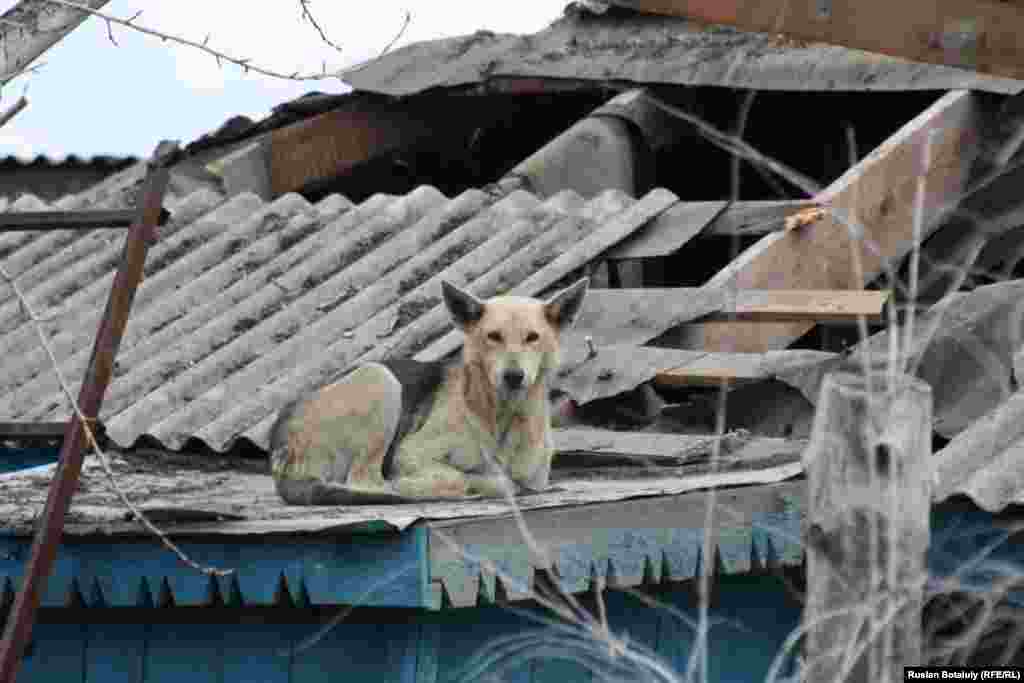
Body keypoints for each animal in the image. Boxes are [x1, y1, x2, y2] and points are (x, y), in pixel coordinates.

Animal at [270, 274, 593, 505]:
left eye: (532, 337)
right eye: (493, 336)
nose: (513, 376)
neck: (503, 416)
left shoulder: (534, 478)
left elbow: (514, 482)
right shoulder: (409, 454)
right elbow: (478, 479)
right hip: (380, 378)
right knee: (367, 481)